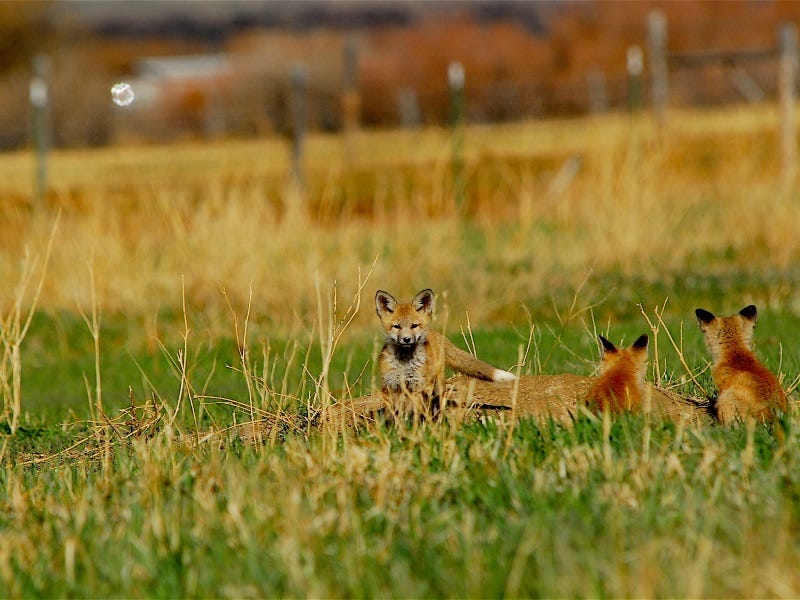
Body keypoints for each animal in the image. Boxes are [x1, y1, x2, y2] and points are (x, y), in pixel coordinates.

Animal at [374, 288, 512, 410]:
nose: (406, 339)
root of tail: (435, 333)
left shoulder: (418, 385)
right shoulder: (389, 385)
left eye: (414, 325)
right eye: (397, 326)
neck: (404, 363)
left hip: (437, 383)